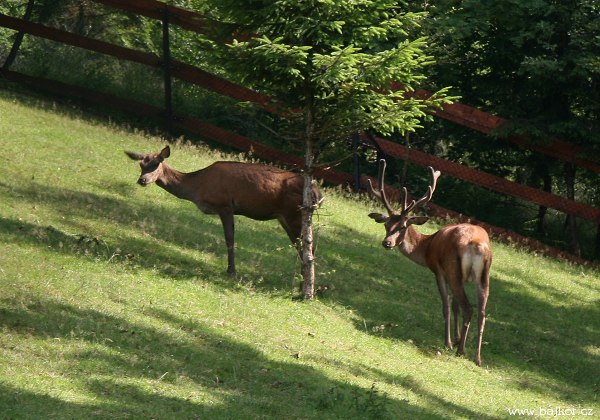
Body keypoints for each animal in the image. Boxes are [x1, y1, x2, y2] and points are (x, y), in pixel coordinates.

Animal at [125, 147, 324, 276]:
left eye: (157, 164)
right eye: (141, 165)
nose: (142, 180)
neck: (198, 187)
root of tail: (318, 193)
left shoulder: (225, 205)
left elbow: (229, 238)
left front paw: (231, 270)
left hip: (294, 214)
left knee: (308, 246)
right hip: (286, 217)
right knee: (302, 245)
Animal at [366, 160, 492, 364]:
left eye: (403, 226)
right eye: (386, 224)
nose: (387, 243)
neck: (427, 246)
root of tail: (477, 244)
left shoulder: (439, 270)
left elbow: (447, 306)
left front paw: (450, 342)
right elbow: (454, 306)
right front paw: (457, 338)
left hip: (453, 268)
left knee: (468, 308)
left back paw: (461, 351)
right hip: (483, 275)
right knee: (482, 312)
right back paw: (477, 357)